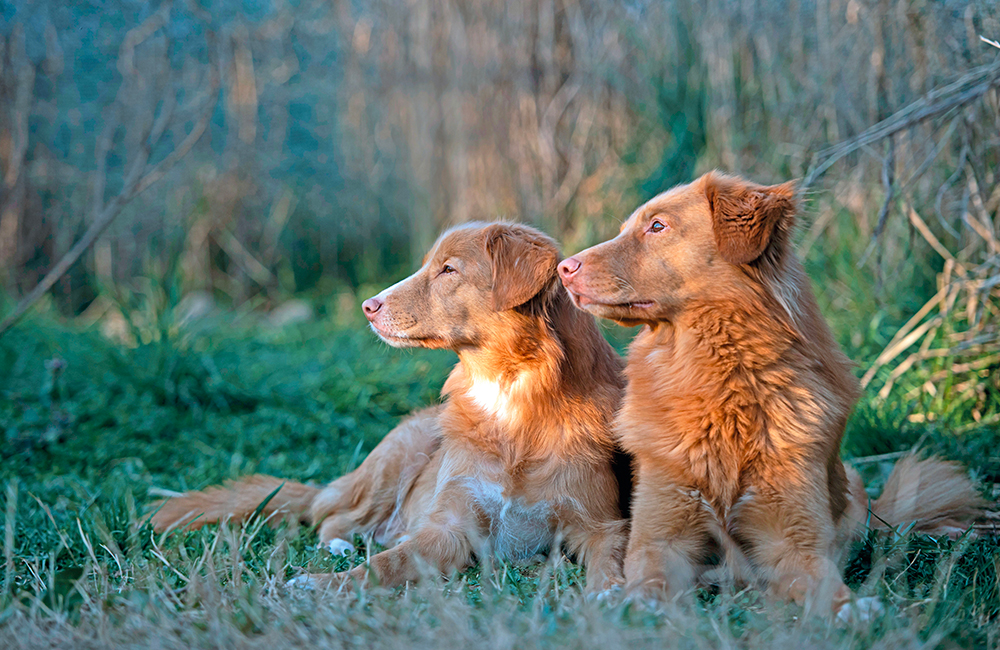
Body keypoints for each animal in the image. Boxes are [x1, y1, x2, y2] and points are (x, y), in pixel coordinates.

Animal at [151, 221, 628, 592]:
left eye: (448, 269)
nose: (368, 306)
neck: (512, 401)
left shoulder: (599, 525)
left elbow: (611, 559)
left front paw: (612, 596)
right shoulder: (448, 530)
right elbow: (382, 565)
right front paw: (320, 585)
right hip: (396, 457)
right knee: (332, 518)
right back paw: (342, 547)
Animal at [564, 171, 984, 612]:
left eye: (657, 226)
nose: (564, 268)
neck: (721, 383)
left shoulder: (793, 540)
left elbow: (828, 588)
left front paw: (853, 611)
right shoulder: (660, 535)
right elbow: (648, 584)